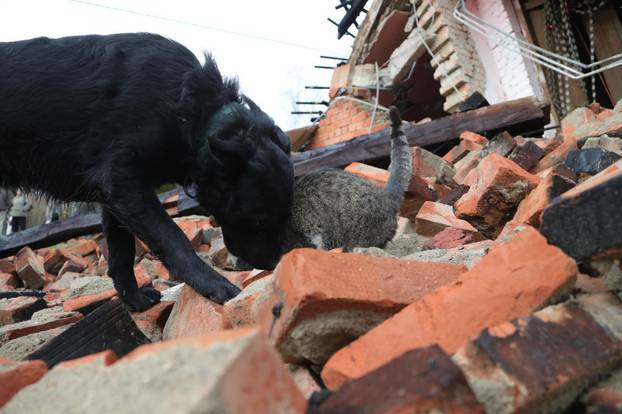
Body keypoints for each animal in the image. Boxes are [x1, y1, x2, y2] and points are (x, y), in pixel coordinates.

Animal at [0, 33, 294, 310]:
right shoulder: (123, 180)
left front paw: (134, 299)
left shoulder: (115, 196)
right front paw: (213, 283)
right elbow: (173, 238)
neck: (195, 114)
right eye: (259, 221)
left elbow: (121, 252)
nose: (271, 264)